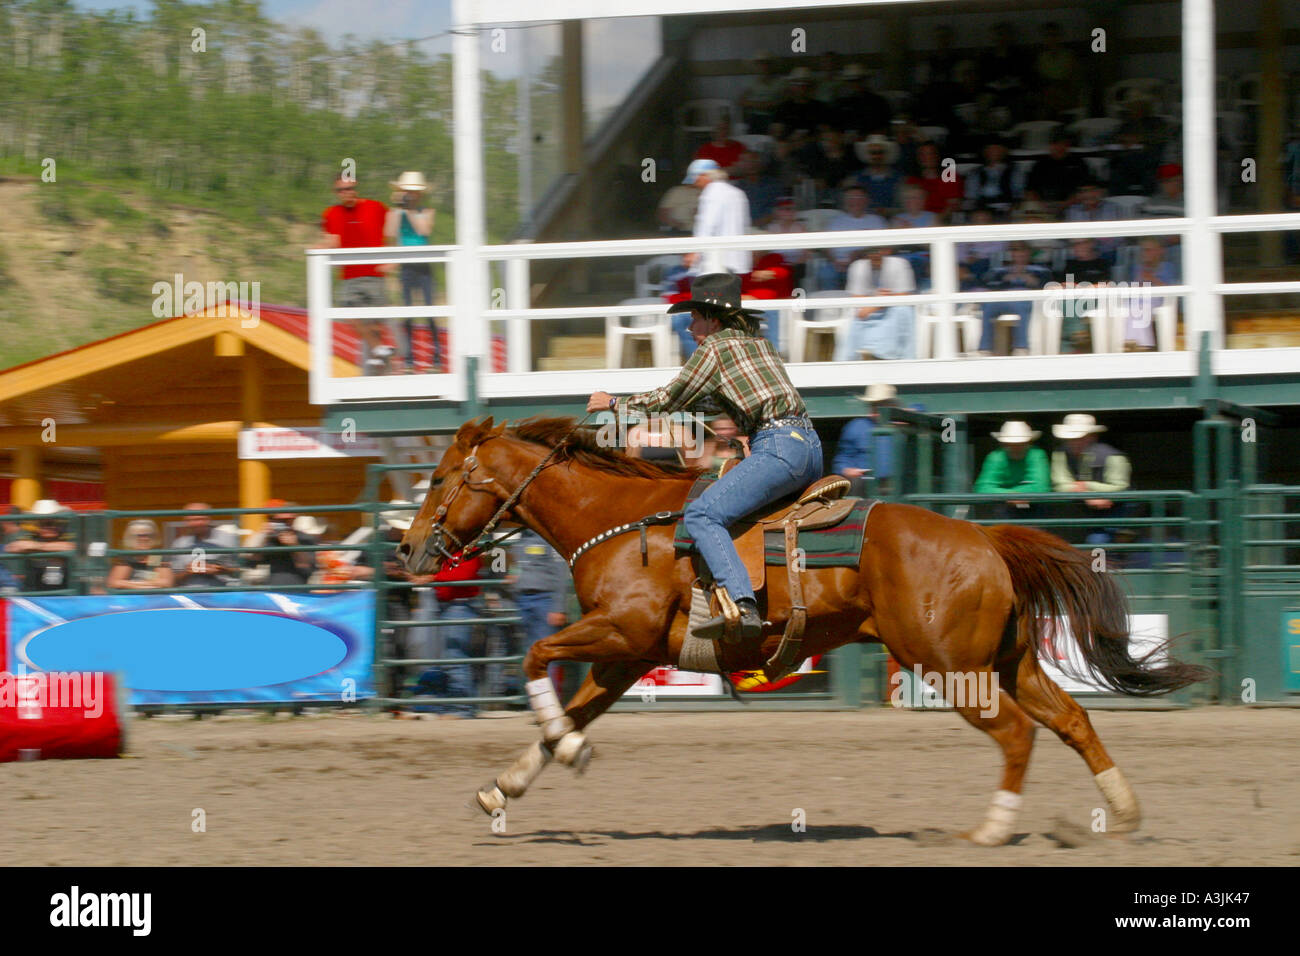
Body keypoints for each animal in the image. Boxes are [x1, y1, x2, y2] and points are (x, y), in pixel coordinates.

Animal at [395, 418, 1206, 842]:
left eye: (438, 478)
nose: (406, 551)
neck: (618, 521)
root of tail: (983, 538)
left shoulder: (618, 632)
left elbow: (535, 657)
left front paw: (565, 752)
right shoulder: (626, 655)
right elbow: (573, 705)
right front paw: (506, 786)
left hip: (951, 664)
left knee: (1016, 733)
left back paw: (991, 829)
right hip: (1009, 661)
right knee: (1071, 719)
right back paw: (1123, 812)